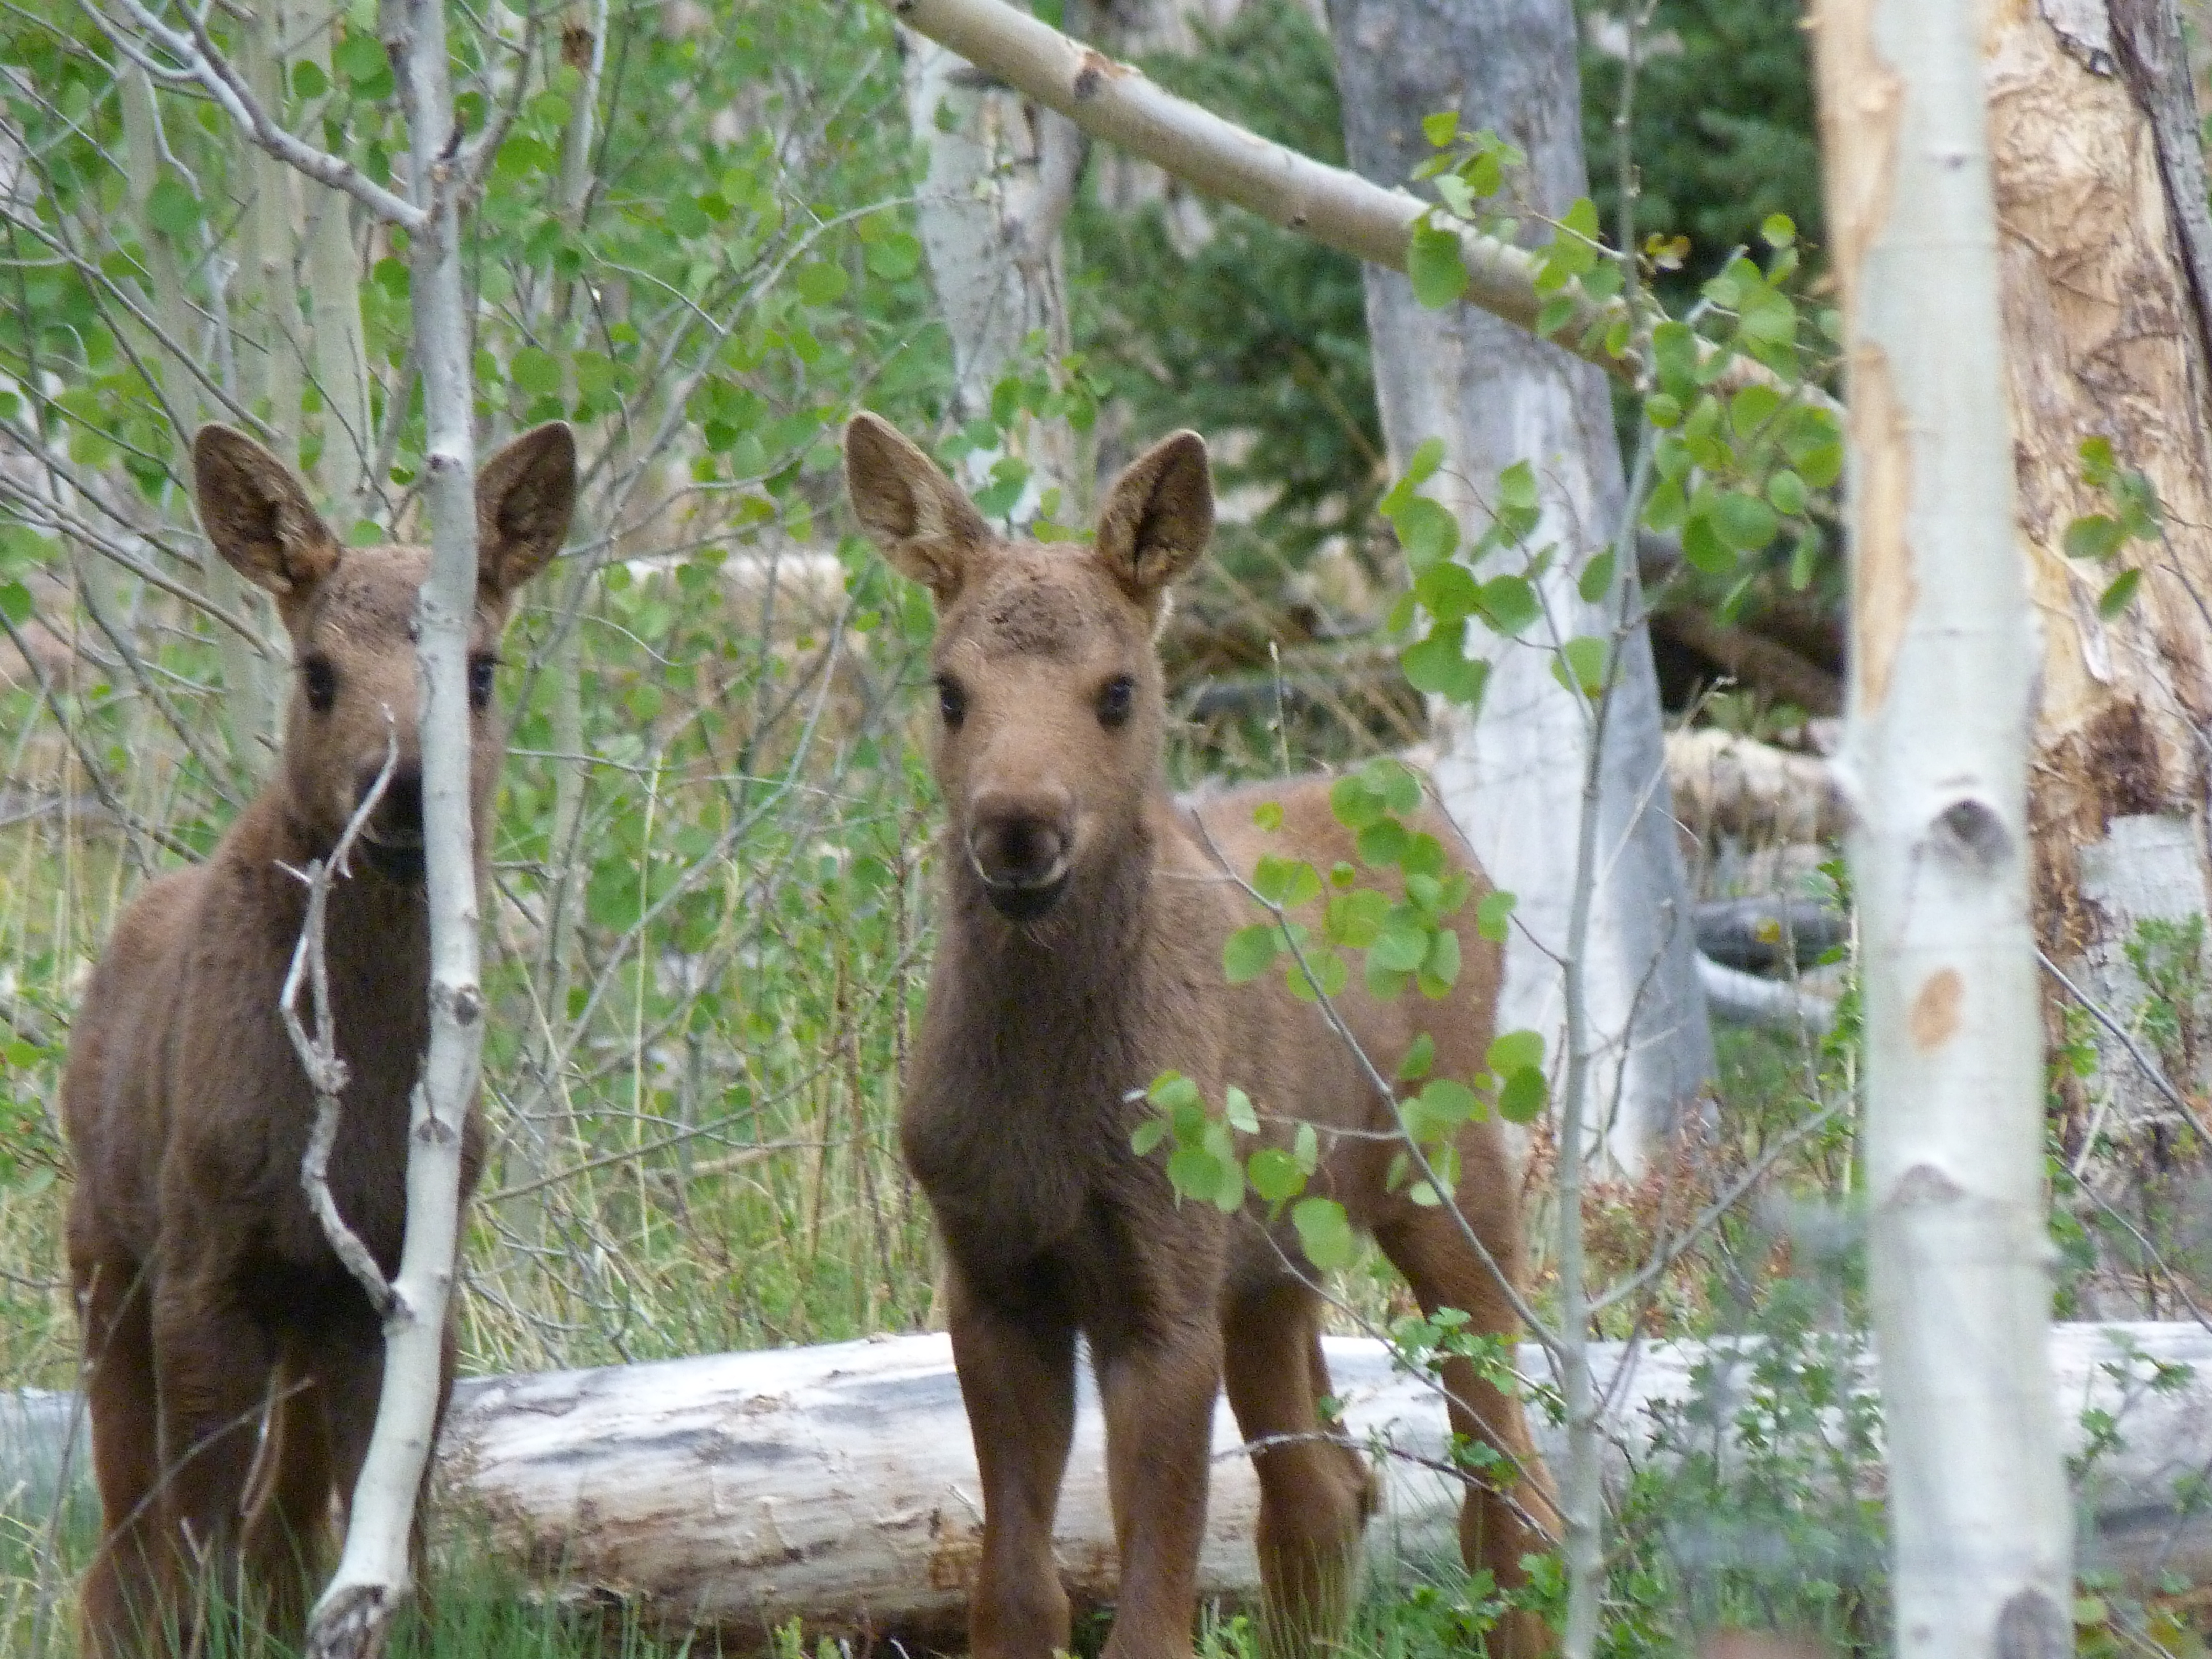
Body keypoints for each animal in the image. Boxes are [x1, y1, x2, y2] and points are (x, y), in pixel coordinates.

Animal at [60, 421, 574, 1656]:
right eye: (318, 672)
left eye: (479, 669)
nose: (401, 794)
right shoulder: (204, 1260)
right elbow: (189, 1528)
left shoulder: (405, 1279)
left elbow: (394, 1518)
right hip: (104, 1249)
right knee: (125, 1531)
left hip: (304, 1307)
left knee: (278, 1521)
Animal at [843, 412, 1557, 1659]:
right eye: (949, 690)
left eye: (1118, 690)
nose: (1018, 827)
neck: (1050, 1091)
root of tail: (1434, 817)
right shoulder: (990, 1277)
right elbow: (1017, 1594)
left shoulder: (1164, 1288)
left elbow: (1150, 1618)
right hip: (1278, 1256)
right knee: (1327, 1491)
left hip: (1446, 1176)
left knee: (1507, 1468)